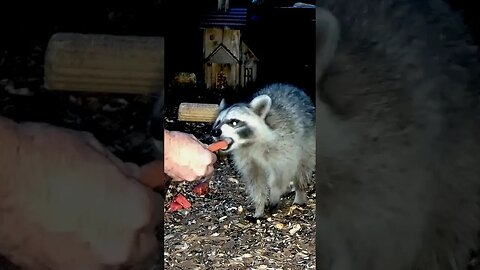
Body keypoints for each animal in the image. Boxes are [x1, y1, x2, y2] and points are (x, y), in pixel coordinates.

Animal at [212, 83, 316, 218]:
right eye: (218, 122)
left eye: (234, 122)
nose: (214, 132)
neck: (249, 143)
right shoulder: (247, 159)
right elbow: (256, 182)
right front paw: (259, 207)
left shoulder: (285, 146)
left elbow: (281, 175)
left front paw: (275, 195)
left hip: (308, 141)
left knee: (303, 168)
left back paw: (300, 192)